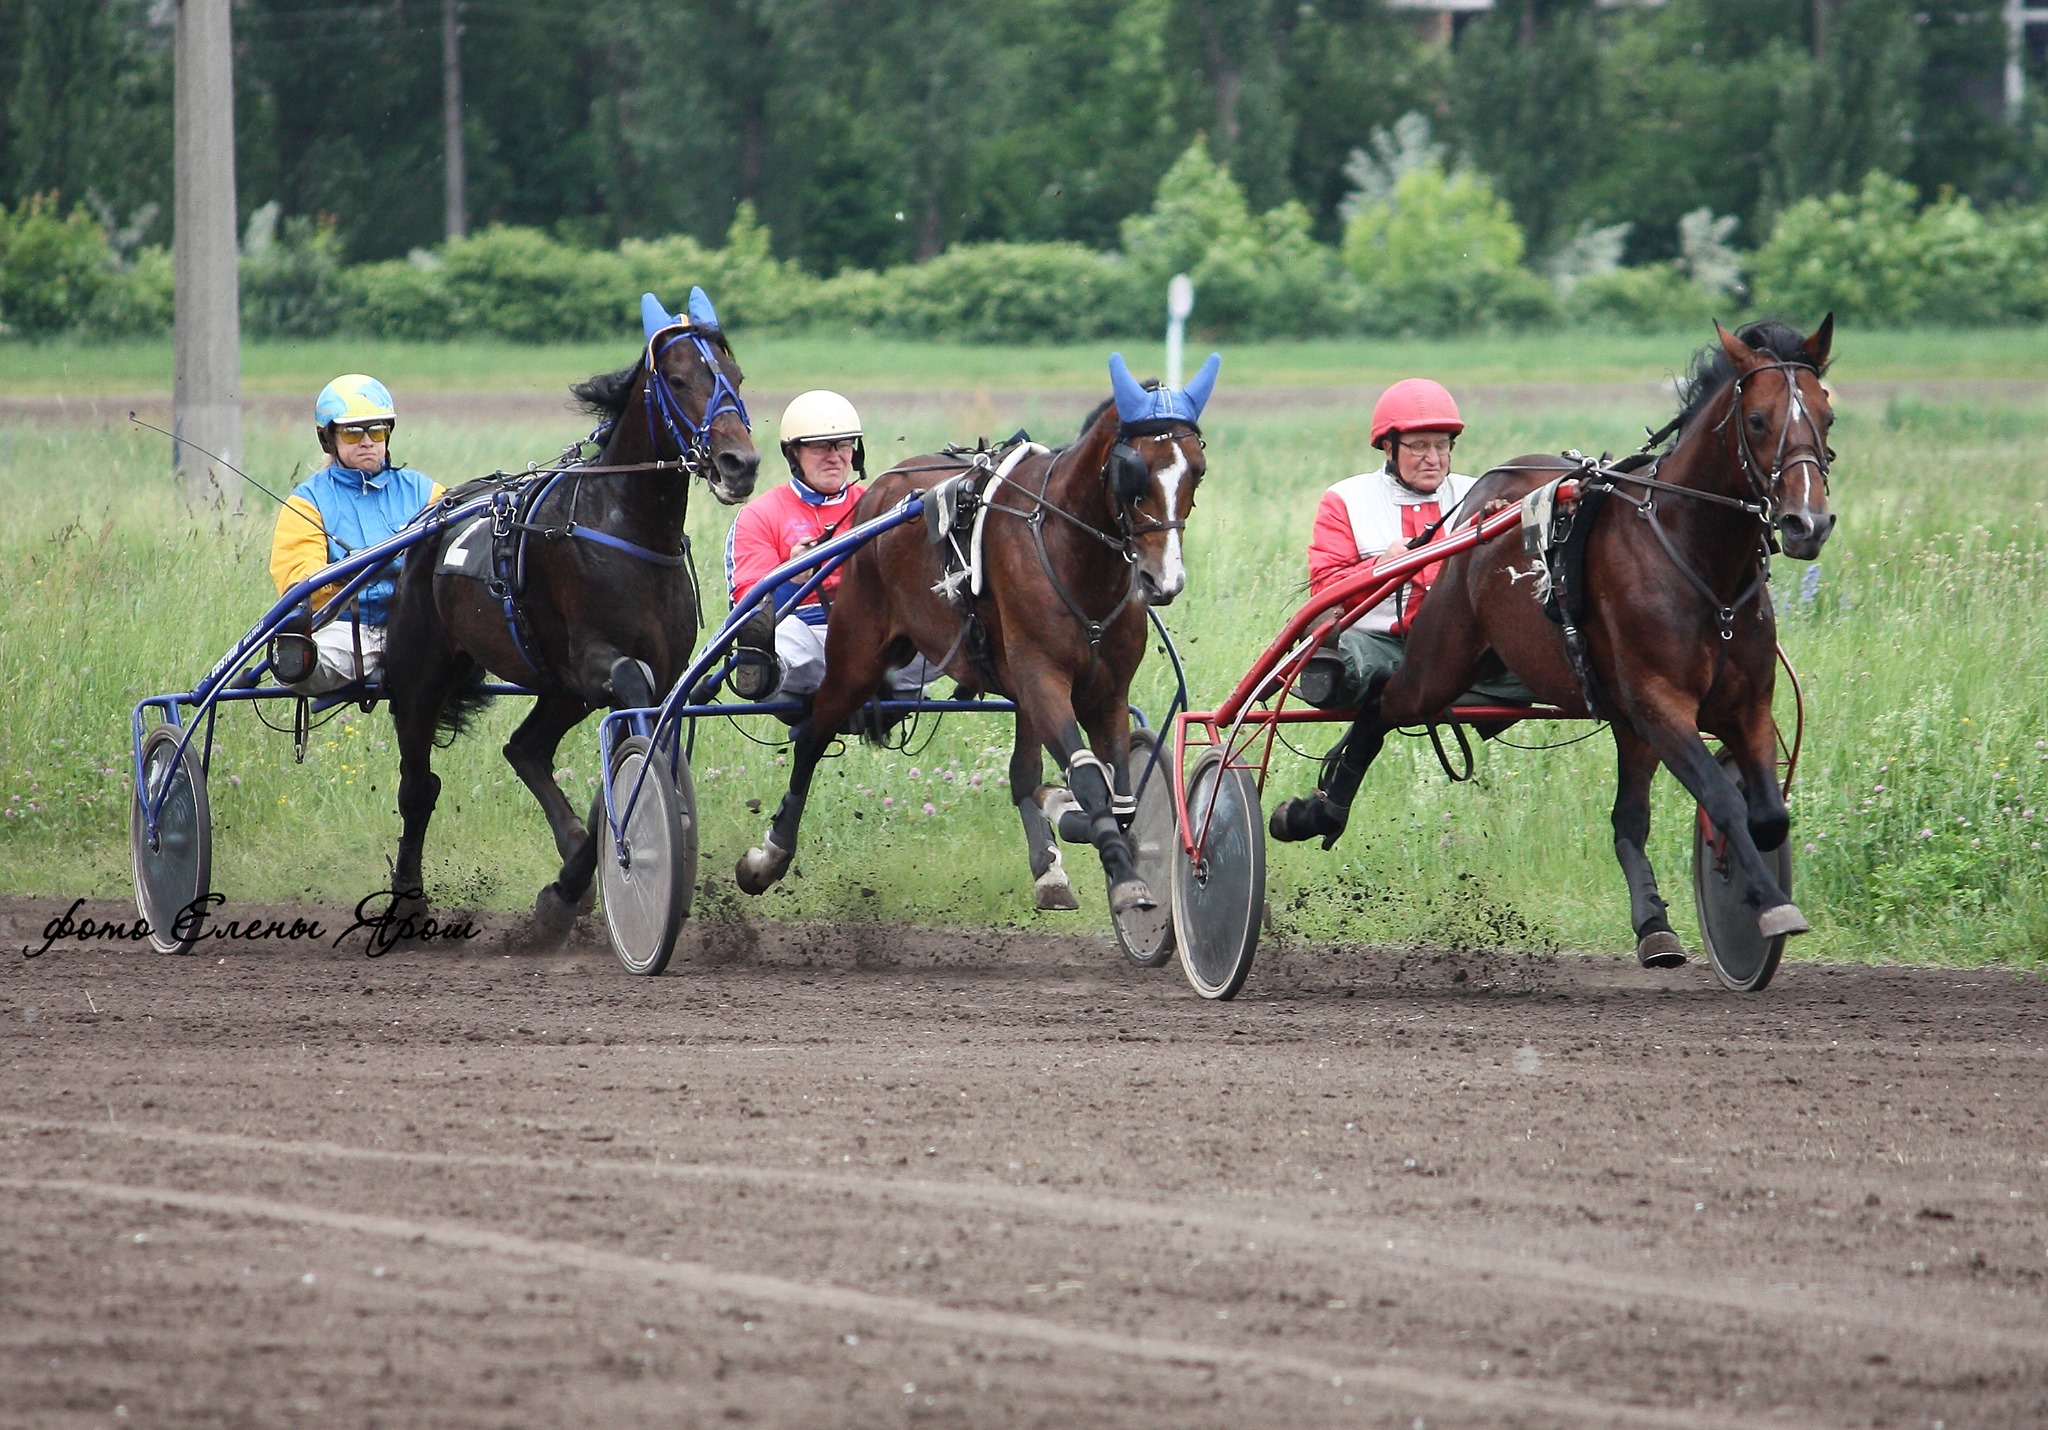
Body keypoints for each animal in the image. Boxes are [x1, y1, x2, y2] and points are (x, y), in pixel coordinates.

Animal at [385, 290, 761, 934]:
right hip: (423, 668)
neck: (627, 527)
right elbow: (629, 696)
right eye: (679, 379)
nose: (740, 463)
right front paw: (594, 875)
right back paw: (409, 897)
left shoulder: (646, 677)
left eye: (736, 377)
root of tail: (434, 517)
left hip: (559, 687)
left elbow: (626, 765)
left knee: (524, 748)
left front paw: (568, 887)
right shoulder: (599, 662)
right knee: (418, 785)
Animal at [733, 352, 1212, 917]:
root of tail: (879, 494)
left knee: (1022, 773)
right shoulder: (1042, 677)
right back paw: (769, 855)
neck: (1070, 552)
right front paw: (1121, 873)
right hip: (856, 651)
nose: (1164, 580)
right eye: (1131, 471)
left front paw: (1090, 834)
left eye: (1197, 470)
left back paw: (1049, 864)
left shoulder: (1106, 690)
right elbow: (1088, 779)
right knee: (811, 737)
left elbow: (1118, 796)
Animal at [1277, 311, 1843, 958]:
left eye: (1828, 414)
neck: (1700, 564)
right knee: (1379, 704)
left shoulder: (1744, 704)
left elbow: (1767, 815)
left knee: (1628, 819)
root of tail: (1482, 501)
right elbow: (1723, 800)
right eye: (1757, 419)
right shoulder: (1661, 704)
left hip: (1604, 711)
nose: (1807, 523)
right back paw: (1316, 812)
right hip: (1443, 660)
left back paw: (1654, 925)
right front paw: (1769, 904)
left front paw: (1736, 890)